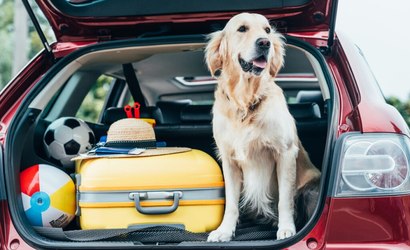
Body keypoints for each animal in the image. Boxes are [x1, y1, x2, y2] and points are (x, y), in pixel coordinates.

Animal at [205, 12, 320, 241]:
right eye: (242, 29)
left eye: (267, 30)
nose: (265, 43)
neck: (246, 102)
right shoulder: (229, 159)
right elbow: (231, 203)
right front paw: (225, 231)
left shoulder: (285, 153)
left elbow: (285, 199)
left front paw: (286, 228)